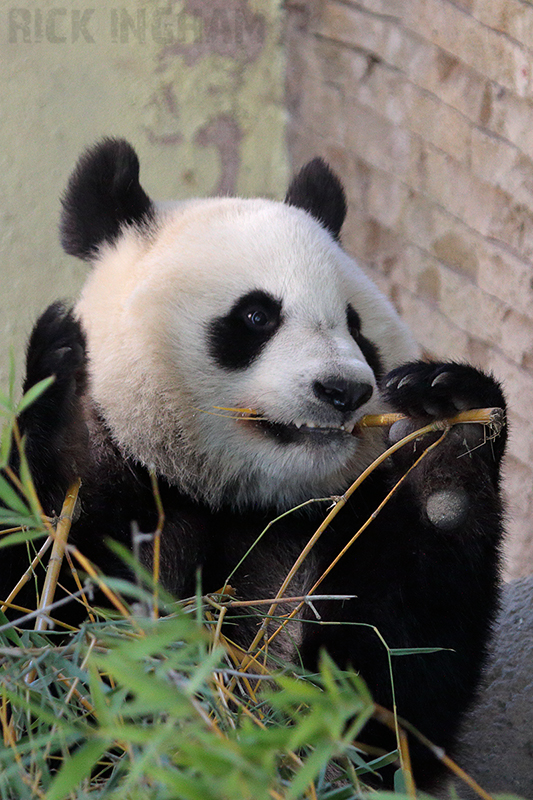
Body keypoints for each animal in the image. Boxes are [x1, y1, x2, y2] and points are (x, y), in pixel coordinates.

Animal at [3, 139, 508, 788]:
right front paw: (69, 411)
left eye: (356, 326)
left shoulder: (323, 531)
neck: (230, 496)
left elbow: (388, 706)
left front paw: (447, 447)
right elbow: (50, 665)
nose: (343, 390)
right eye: (256, 316)